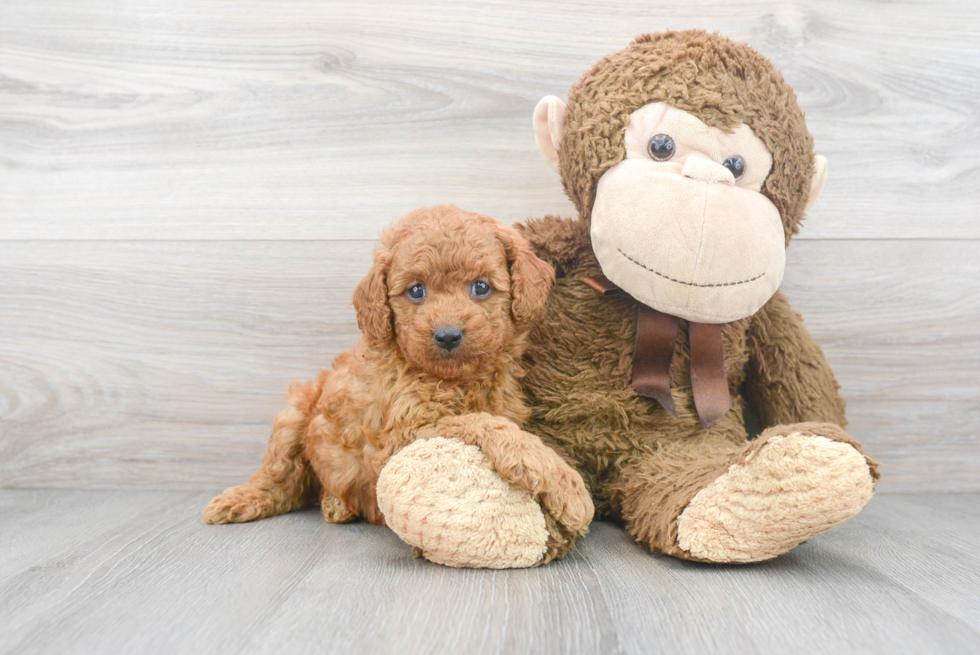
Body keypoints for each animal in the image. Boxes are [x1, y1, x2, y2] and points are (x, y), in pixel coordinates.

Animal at [203, 206, 592, 568]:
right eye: (416, 291)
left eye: (481, 287)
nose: (447, 335)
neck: (455, 379)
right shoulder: (401, 436)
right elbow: (483, 422)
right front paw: (568, 487)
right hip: (295, 411)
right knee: (279, 478)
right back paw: (242, 500)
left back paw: (336, 504)